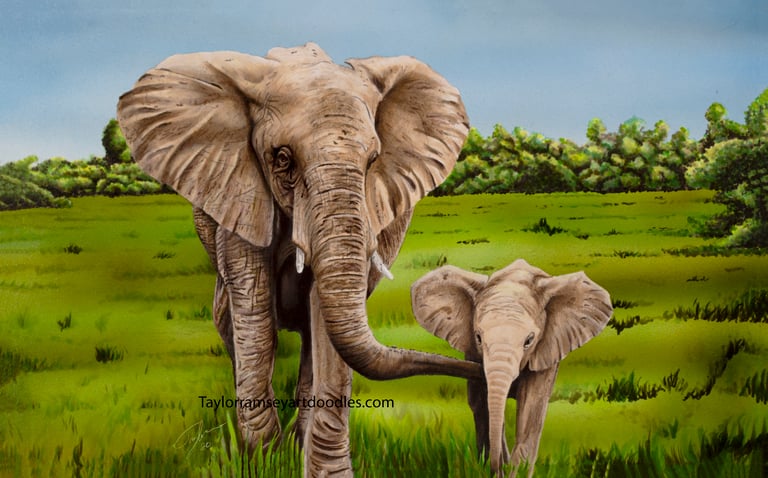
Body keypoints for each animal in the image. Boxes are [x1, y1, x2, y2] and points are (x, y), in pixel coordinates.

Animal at [116, 43, 483, 476]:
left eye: (373, 160)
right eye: (282, 158)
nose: (481, 367)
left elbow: (324, 320)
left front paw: (315, 468)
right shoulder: (239, 191)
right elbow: (254, 310)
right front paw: (263, 459)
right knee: (229, 320)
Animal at [411, 259, 612, 477]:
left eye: (529, 340)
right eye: (478, 337)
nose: (496, 468)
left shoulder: (546, 350)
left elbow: (530, 411)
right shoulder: (473, 353)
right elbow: (483, 404)